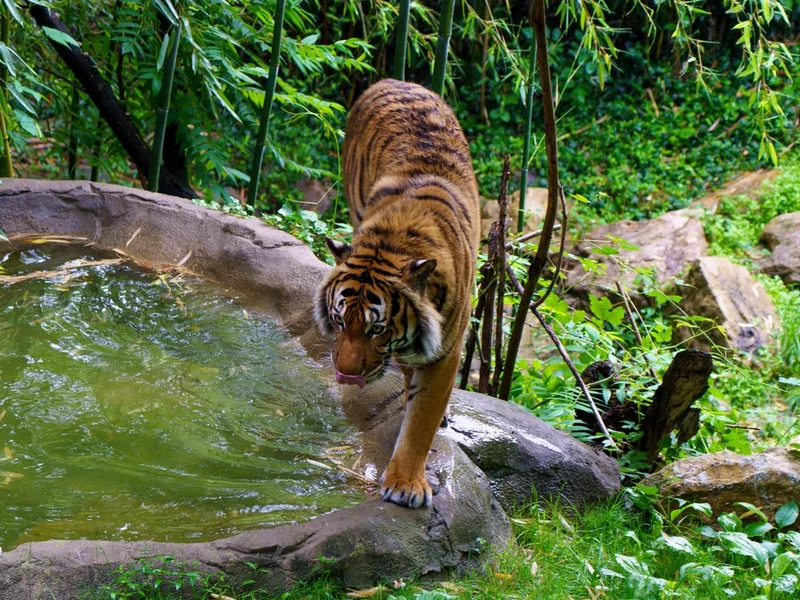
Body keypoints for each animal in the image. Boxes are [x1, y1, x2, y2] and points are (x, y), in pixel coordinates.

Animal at [314, 79, 480, 509]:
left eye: (377, 328)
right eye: (340, 320)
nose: (346, 375)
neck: (394, 241)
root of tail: (393, 80)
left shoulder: (445, 350)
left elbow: (421, 420)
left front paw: (405, 484)